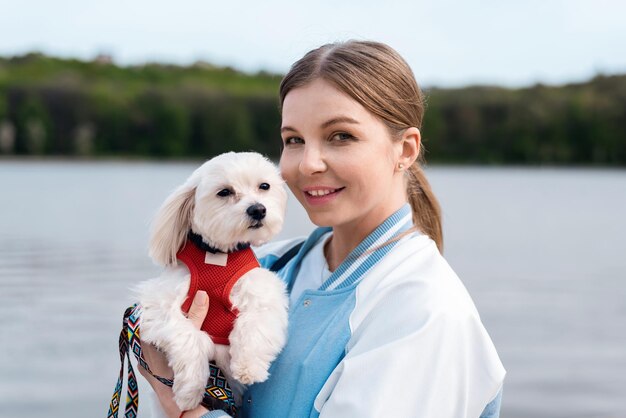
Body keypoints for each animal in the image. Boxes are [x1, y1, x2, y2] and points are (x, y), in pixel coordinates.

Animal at [135, 153, 288, 412]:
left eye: (264, 186)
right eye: (224, 192)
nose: (258, 209)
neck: (218, 255)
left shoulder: (264, 295)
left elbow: (254, 324)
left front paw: (248, 367)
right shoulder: (158, 306)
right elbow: (188, 336)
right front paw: (190, 390)